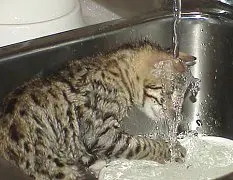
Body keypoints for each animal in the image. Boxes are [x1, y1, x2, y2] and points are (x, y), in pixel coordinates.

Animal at [0, 41, 195, 180]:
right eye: (171, 93)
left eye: (183, 96)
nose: (175, 116)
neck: (117, 74)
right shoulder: (99, 133)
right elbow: (140, 144)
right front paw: (169, 150)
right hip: (55, 167)